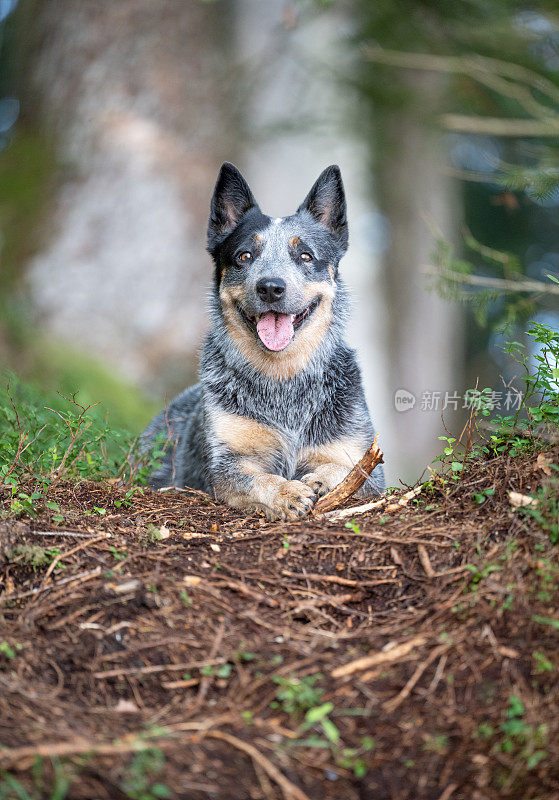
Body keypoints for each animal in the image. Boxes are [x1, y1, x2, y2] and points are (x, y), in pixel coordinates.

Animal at [140, 164, 384, 520]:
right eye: (244, 256)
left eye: (305, 256)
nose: (270, 287)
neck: (283, 382)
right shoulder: (227, 461)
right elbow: (256, 479)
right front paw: (286, 493)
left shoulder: (362, 457)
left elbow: (351, 469)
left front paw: (321, 479)